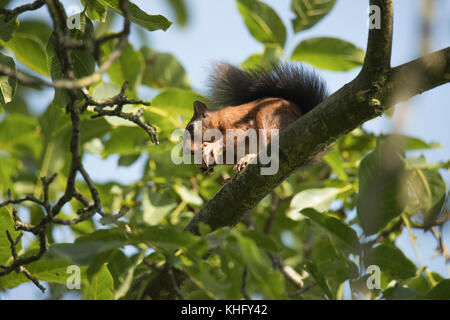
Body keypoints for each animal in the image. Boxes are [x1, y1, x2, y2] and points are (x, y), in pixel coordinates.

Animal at [183, 62, 326, 172]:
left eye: (191, 127)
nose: (188, 151)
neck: (215, 121)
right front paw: (206, 164)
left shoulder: (231, 122)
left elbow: (236, 135)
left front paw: (211, 147)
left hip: (269, 119)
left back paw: (249, 157)